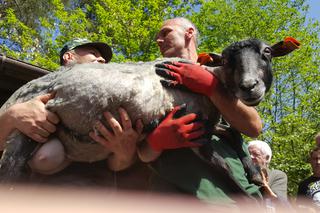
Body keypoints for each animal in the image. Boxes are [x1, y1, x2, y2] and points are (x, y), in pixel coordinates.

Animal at [0, 37, 300, 185]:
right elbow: (226, 170)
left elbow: (234, 135)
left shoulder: (206, 122)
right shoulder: (196, 136)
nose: (250, 87)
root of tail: (12, 99)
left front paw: (253, 171)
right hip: (23, 135)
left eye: (267, 52)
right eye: (226, 60)